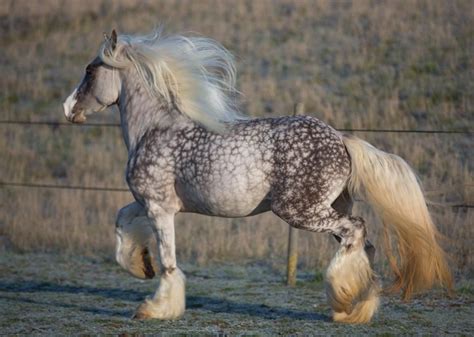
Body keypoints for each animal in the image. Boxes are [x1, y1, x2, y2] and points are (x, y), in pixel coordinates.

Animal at [63, 28, 452, 322]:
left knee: (356, 231)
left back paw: (342, 299)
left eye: (90, 70)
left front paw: (155, 308)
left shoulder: (160, 207)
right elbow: (121, 220)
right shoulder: (148, 202)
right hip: (328, 208)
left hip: (301, 211)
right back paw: (355, 309)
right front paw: (140, 266)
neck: (154, 128)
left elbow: (169, 261)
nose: (69, 110)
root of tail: (342, 139)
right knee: (363, 245)